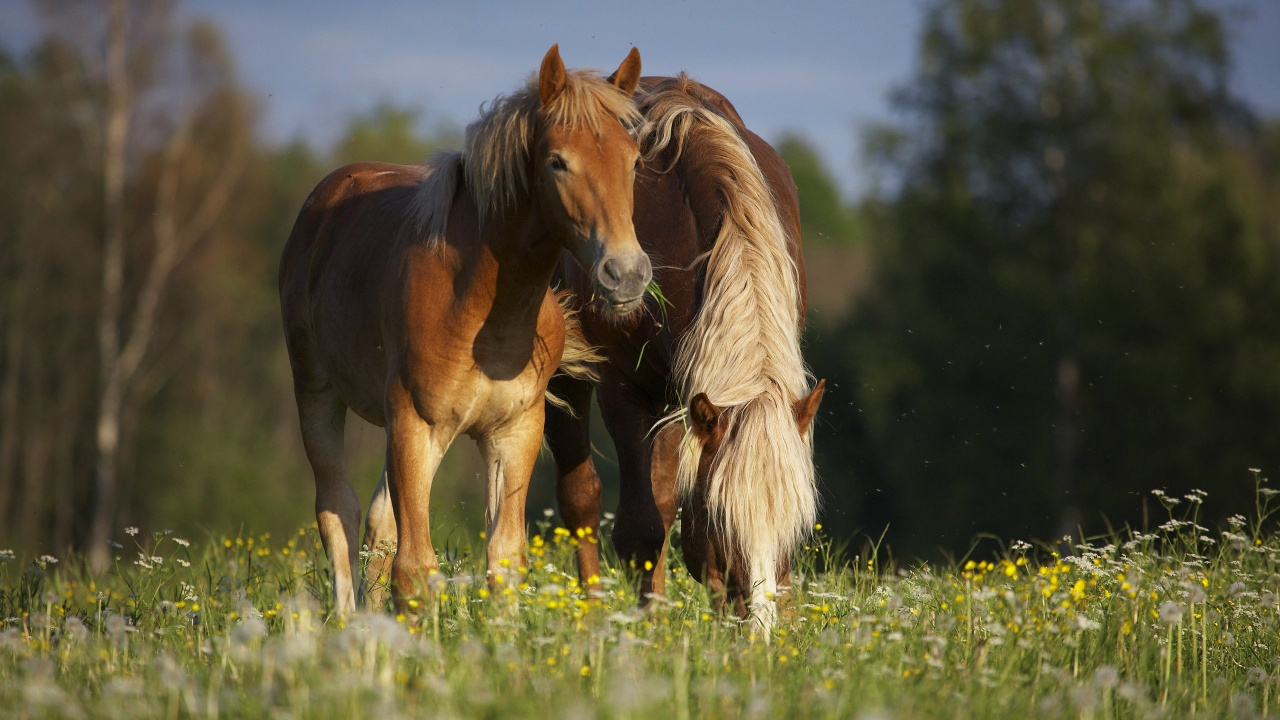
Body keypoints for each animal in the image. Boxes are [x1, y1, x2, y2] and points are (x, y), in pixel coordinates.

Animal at [279, 45, 651, 615]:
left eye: (634, 160)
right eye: (557, 161)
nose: (626, 273)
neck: (482, 311)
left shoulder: (514, 432)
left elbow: (504, 558)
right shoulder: (415, 424)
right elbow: (414, 568)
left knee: (377, 522)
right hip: (319, 392)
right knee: (337, 511)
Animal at [545, 74, 825, 628]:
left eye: (797, 525)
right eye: (721, 518)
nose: (760, 629)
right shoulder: (625, 391)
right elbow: (641, 530)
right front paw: (648, 632)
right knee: (582, 498)